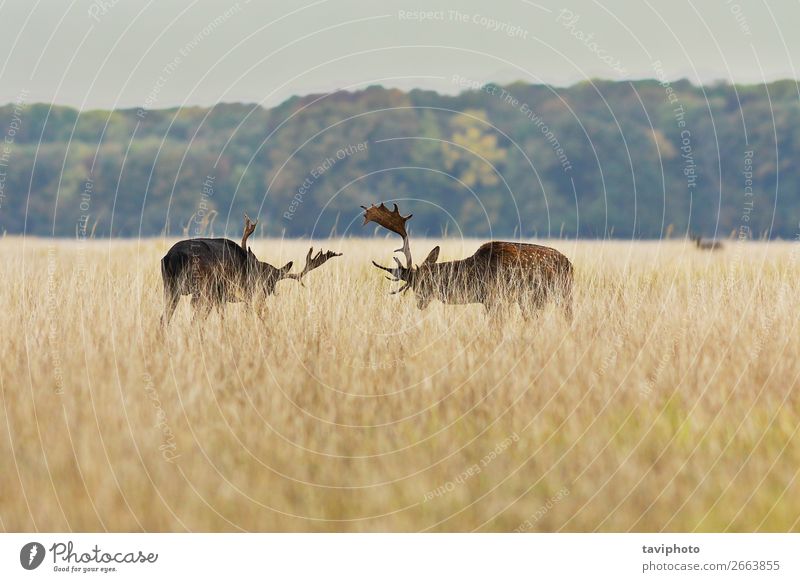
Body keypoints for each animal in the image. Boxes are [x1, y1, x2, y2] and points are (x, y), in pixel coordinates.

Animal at [159, 214, 340, 326]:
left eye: (272, 284)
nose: (263, 296)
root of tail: (173, 256)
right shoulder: (235, 293)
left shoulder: (223, 297)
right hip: (203, 287)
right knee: (194, 317)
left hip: (170, 286)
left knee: (164, 317)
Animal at [362, 202, 576, 320]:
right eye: (415, 285)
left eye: (425, 282)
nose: (420, 303)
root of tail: (570, 265)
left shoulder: (495, 298)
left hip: (555, 295)